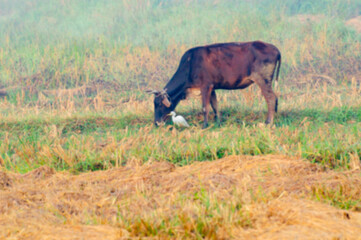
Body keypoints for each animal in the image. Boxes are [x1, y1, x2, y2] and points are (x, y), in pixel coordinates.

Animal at [148, 40, 280, 129]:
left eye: (159, 104)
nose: (157, 123)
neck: (190, 65)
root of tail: (274, 48)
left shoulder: (205, 86)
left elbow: (205, 108)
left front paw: (204, 126)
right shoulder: (212, 88)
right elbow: (215, 106)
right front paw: (218, 123)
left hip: (263, 79)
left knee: (271, 99)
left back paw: (268, 122)